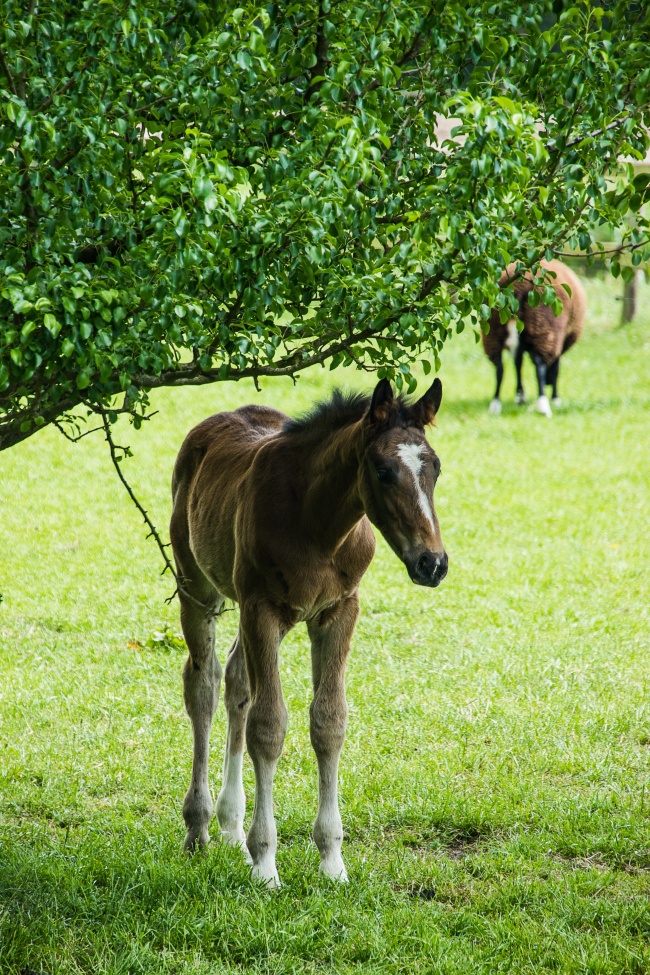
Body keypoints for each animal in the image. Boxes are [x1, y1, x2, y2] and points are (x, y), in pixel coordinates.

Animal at [170, 378, 448, 888]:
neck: (318, 526)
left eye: (435, 468)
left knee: (236, 682)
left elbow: (328, 722)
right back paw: (199, 828)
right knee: (203, 684)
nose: (432, 563)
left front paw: (332, 860)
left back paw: (231, 828)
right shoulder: (262, 608)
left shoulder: (338, 610)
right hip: (198, 587)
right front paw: (265, 864)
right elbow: (268, 726)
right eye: (382, 471)